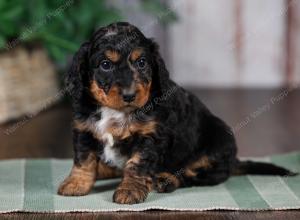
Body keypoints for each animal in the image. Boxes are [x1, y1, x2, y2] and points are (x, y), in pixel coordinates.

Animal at [57, 21, 296, 205]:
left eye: (142, 62)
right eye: (105, 64)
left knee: (192, 174)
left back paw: (165, 180)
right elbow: (84, 159)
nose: (130, 95)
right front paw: (76, 183)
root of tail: (233, 161)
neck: (116, 111)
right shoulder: (84, 129)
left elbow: (136, 165)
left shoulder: (150, 137)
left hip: (216, 148)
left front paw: (130, 189)